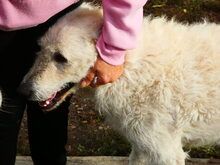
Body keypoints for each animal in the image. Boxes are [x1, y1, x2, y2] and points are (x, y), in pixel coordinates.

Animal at [19, 3, 220, 164]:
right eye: (39, 49)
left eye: (60, 57)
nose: (22, 91)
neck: (128, 67)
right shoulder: (141, 146)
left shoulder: (166, 152)